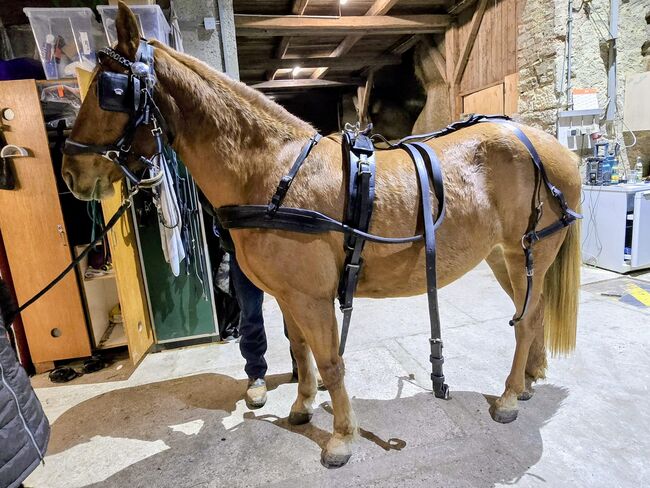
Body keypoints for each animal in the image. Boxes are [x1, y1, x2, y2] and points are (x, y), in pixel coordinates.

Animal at [62, 2, 581, 468]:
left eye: (109, 91)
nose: (70, 173)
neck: (271, 172)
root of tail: (549, 145)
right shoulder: (288, 295)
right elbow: (300, 350)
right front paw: (302, 407)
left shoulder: (311, 296)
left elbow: (331, 360)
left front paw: (341, 438)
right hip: (503, 257)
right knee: (531, 314)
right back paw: (529, 381)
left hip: (527, 252)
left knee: (526, 322)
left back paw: (510, 397)